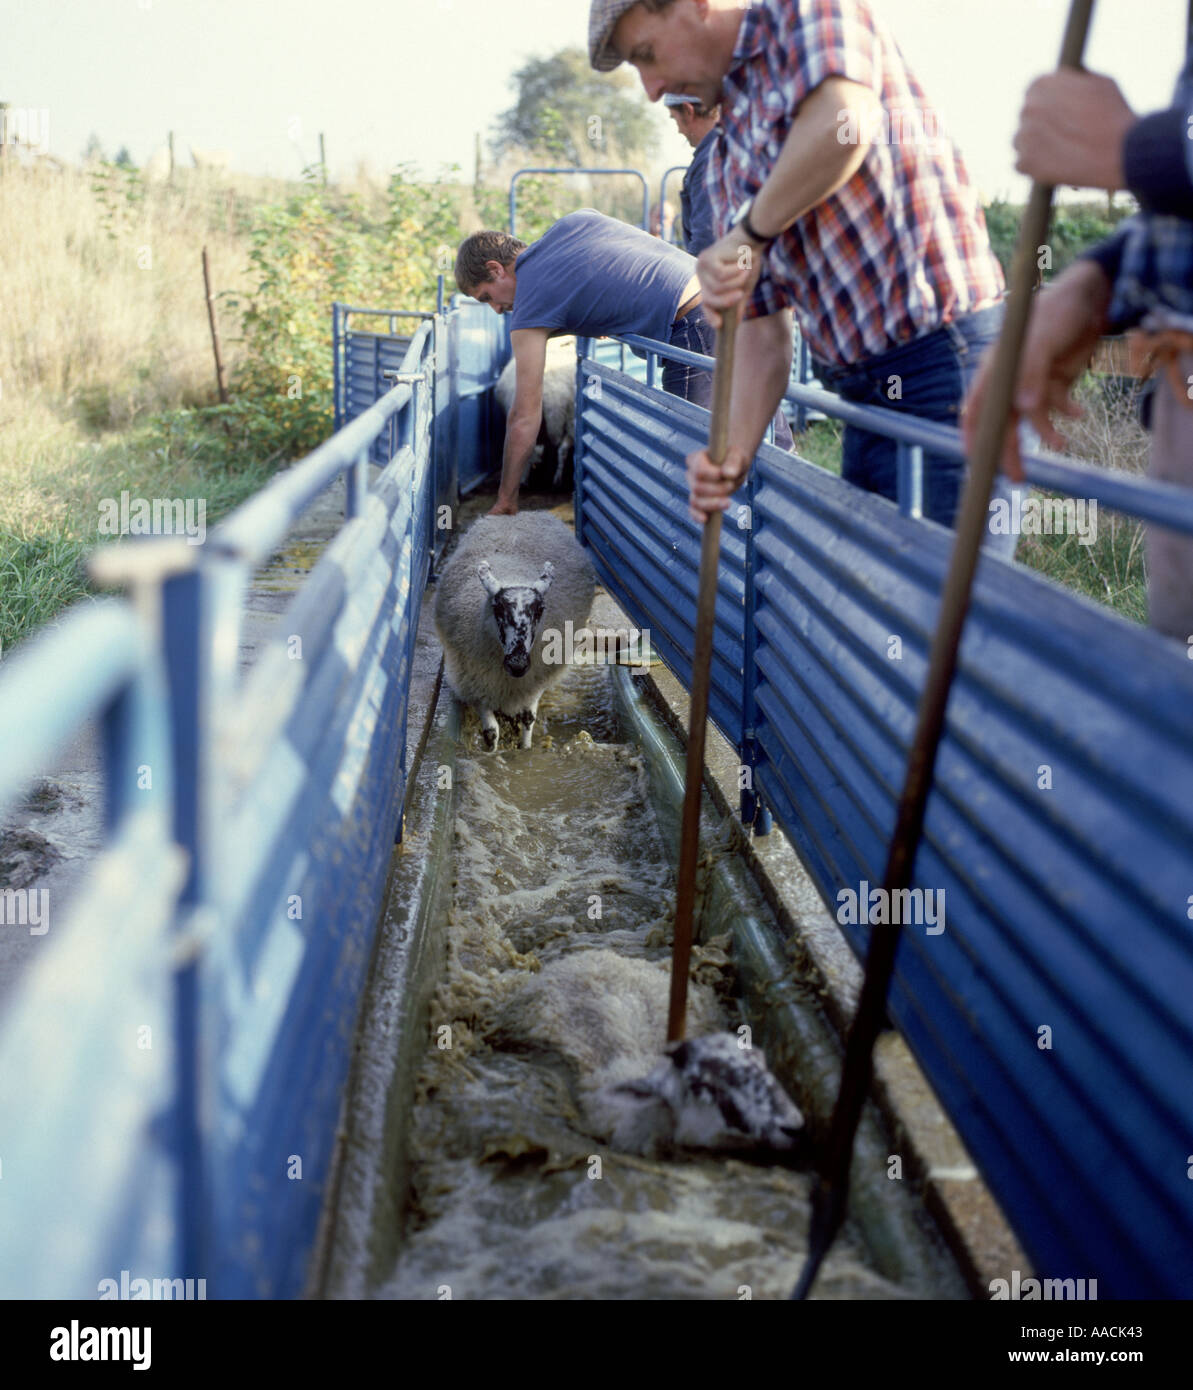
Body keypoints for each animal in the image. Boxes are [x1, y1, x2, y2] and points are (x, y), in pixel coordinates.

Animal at [431, 511, 589, 750]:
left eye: (541, 609)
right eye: (497, 608)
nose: (517, 664)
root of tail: (519, 513)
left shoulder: (535, 679)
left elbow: (528, 719)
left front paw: (525, 749)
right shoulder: (475, 683)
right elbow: (491, 731)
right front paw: (492, 753)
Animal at [492, 334, 575, 489]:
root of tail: (555, 396)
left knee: (533, 449)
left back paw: (526, 480)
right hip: (570, 419)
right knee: (563, 448)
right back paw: (557, 478)